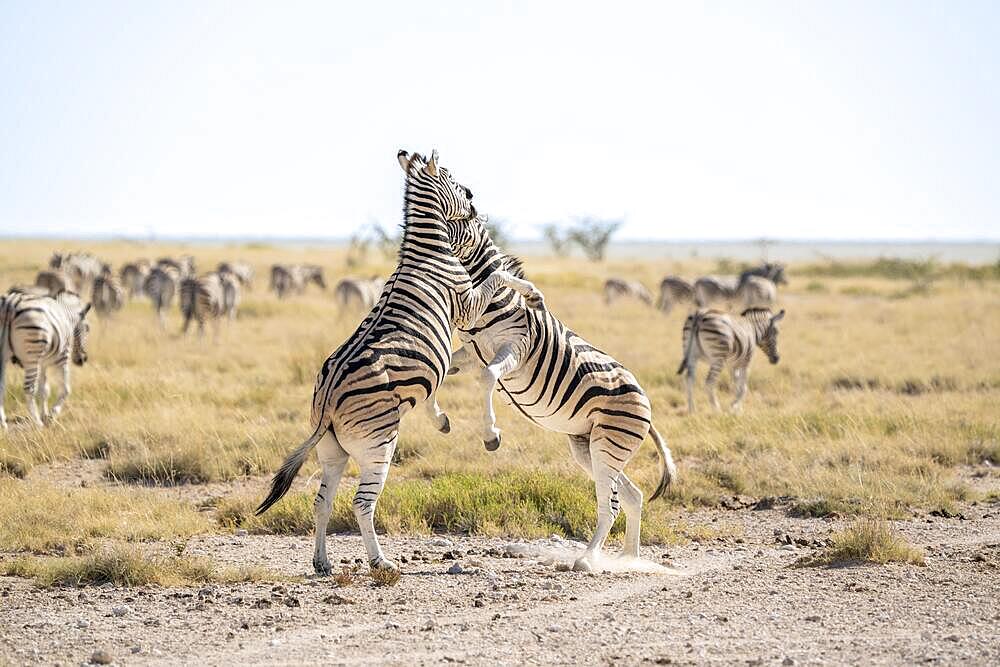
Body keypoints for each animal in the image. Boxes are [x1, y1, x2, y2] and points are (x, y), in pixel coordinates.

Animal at [0, 290, 92, 428]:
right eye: (87, 328)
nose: (83, 359)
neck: (66, 315)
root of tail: (10, 303)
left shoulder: (42, 363)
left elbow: (44, 390)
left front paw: (45, 415)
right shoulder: (63, 356)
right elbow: (66, 389)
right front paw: (52, 414)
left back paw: (3, 424)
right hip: (32, 355)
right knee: (29, 389)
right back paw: (37, 423)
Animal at [254, 150, 544, 576]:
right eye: (455, 181)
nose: (476, 202)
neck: (428, 250)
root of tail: (326, 403)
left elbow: (439, 381)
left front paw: (441, 419)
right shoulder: (467, 303)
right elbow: (498, 276)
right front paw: (532, 293)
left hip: (333, 451)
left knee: (322, 500)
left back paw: (322, 562)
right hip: (379, 444)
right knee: (361, 503)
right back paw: (381, 563)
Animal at [440, 218, 680, 576]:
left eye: (452, 229)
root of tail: (647, 409)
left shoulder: (515, 349)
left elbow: (488, 377)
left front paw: (490, 434)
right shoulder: (472, 354)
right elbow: (445, 370)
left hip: (608, 445)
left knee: (610, 505)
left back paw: (586, 559)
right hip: (591, 448)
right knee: (632, 495)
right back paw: (627, 559)